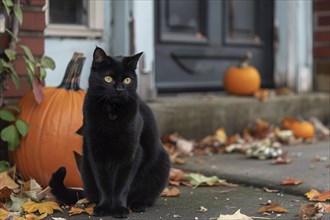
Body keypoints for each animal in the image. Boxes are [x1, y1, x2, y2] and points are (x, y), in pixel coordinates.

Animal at [51, 47, 173, 217]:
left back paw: (138, 205)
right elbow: (104, 184)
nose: (120, 89)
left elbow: (121, 185)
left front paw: (119, 209)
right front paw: (104, 207)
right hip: (86, 168)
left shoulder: (131, 154)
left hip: (161, 164)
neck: (112, 113)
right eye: (108, 78)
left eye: (127, 80)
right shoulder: (95, 153)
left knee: (144, 195)